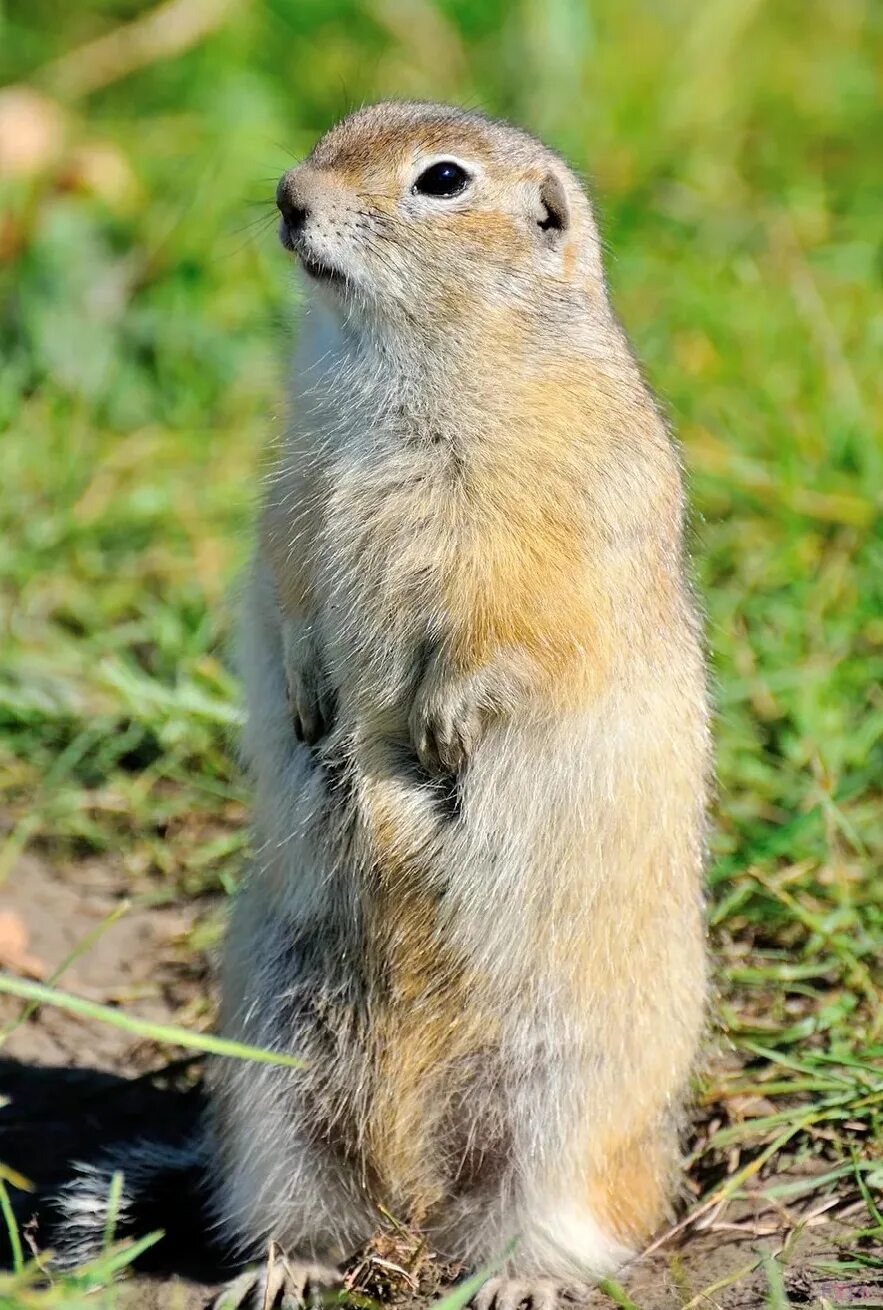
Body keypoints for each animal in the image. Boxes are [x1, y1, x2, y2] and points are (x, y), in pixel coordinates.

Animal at [51, 102, 707, 1310]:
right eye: (336, 129)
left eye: (441, 181)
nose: (287, 195)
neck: (392, 365)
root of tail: (412, 1204)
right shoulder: (293, 497)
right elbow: (289, 591)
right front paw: (313, 706)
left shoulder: (544, 533)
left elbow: (511, 629)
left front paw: (441, 727)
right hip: (273, 1091)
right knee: (303, 1208)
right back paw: (283, 1273)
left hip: (559, 1111)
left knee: (560, 1226)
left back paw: (512, 1282)